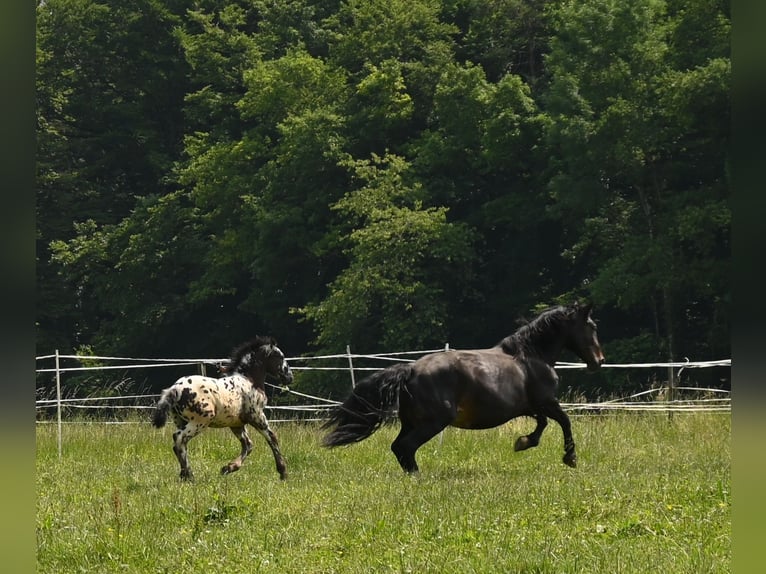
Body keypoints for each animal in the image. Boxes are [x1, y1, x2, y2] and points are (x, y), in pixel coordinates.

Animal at [151, 336, 294, 481]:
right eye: (280, 356)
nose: (289, 377)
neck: (250, 380)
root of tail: (175, 389)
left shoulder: (236, 424)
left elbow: (248, 445)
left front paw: (228, 468)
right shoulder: (256, 416)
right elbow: (272, 438)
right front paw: (283, 472)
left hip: (181, 420)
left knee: (178, 445)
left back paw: (184, 475)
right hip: (200, 421)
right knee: (179, 438)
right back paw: (189, 476)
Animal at [321, 302, 605, 473]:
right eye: (591, 326)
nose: (599, 361)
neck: (532, 356)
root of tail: (410, 370)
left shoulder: (531, 406)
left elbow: (543, 424)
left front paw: (523, 442)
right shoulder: (547, 401)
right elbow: (564, 421)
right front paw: (570, 458)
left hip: (412, 422)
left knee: (398, 447)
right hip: (434, 422)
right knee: (405, 447)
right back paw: (418, 478)